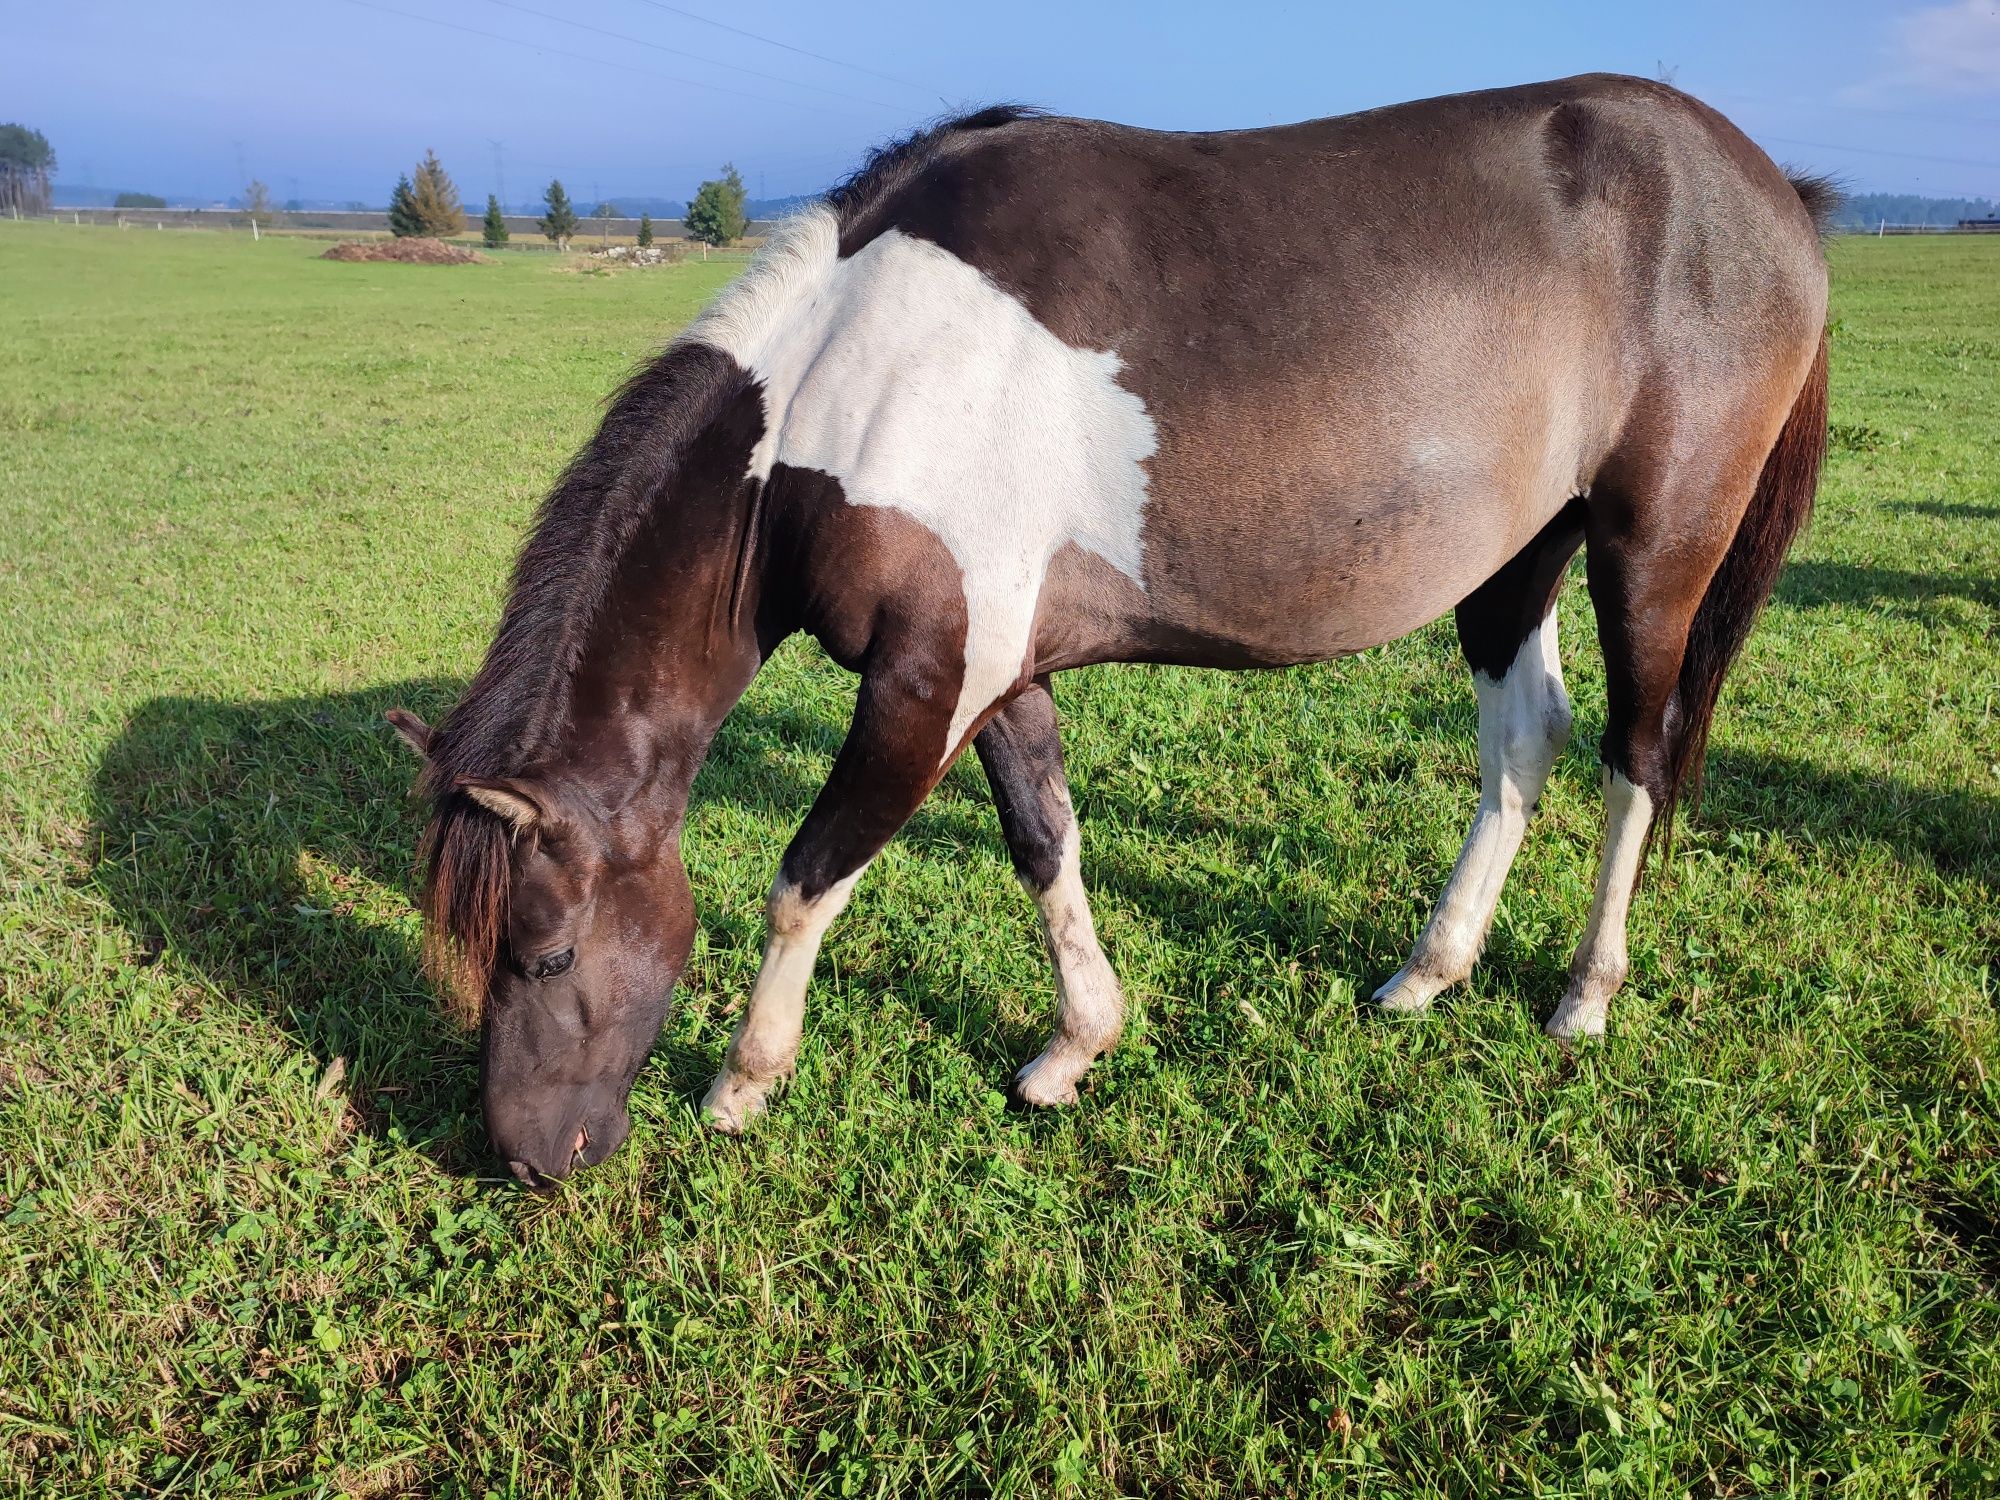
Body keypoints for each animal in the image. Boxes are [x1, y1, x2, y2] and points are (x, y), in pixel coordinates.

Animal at [386, 76, 1832, 1192]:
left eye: (545, 950)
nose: (527, 1159)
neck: (847, 386)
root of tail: (1770, 190)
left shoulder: (921, 685)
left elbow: (807, 877)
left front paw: (745, 1081)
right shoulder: (991, 674)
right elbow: (1046, 842)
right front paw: (1076, 1045)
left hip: (1652, 551)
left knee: (1638, 750)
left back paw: (1584, 993)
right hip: (1521, 554)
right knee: (1527, 741)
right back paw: (1430, 970)